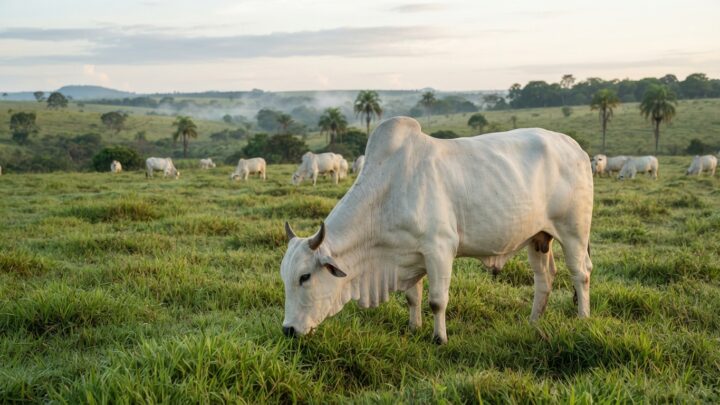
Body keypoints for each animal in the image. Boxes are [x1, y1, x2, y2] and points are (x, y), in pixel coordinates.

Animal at [280, 117, 594, 344]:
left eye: (305, 277)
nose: (288, 330)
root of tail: (574, 146)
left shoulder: (440, 249)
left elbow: (437, 301)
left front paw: (439, 338)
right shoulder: (408, 255)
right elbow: (412, 297)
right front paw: (413, 327)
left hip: (574, 232)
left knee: (581, 273)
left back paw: (582, 318)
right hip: (538, 237)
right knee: (545, 277)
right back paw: (533, 321)